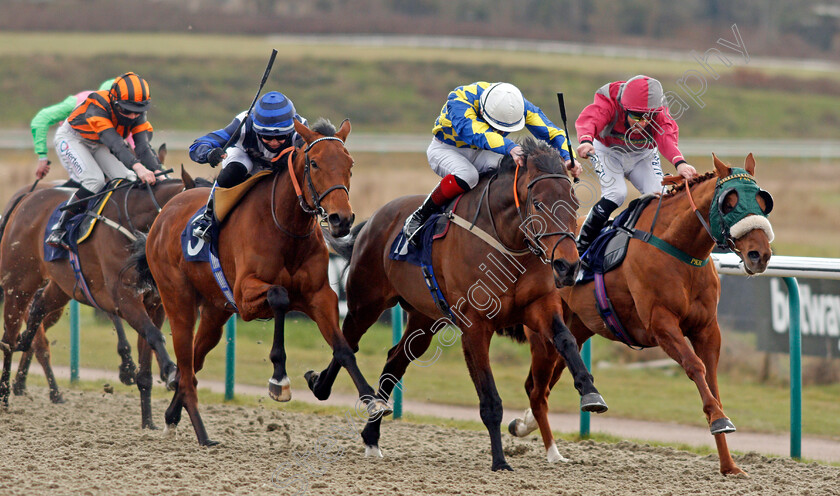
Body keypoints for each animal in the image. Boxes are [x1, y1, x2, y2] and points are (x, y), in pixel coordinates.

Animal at [0, 167, 199, 426]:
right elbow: (154, 336)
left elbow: (147, 358)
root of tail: (27, 197)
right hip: (18, 283)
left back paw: (27, 343)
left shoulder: (154, 304)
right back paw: (5, 396)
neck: (136, 226)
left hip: (64, 286)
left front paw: (148, 422)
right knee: (8, 339)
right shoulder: (123, 297)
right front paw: (169, 371)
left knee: (39, 306)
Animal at [137, 119, 388, 446]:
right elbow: (280, 296)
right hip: (178, 301)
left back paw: (171, 417)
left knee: (191, 364)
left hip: (215, 314)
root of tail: (165, 212)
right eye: (315, 163)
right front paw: (279, 378)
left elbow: (344, 349)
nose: (340, 219)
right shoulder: (245, 297)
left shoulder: (319, 296)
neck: (286, 227)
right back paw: (203, 435)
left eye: (350, 164)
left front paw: (371, 401)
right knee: (185, 362)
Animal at [306, 138, 608, 470]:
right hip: (366, 303)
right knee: (347, 342)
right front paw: (500, 461)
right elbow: (490, 399)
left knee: (395, 360)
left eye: (575, 204)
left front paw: (591, 393)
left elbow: (566, 340)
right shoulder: (475, 326)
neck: (507, 241)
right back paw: (322, 386)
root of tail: (373, 219)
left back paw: (372, 436)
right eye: (539, 204)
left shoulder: (539, 305)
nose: (568, 266)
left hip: (424, 319)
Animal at [506, 153, 776, 474]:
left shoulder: (707, 329)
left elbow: (712, 381)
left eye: (762, 201)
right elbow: (695, 367)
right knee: (536, 391)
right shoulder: (661, 324)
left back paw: (526, 424)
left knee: (546, 383)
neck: (679, 249)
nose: (760, 255)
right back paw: (552, 452)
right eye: (730, 202)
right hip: (544, 333)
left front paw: (729, 465)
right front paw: (719, 419)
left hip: (578, 329)